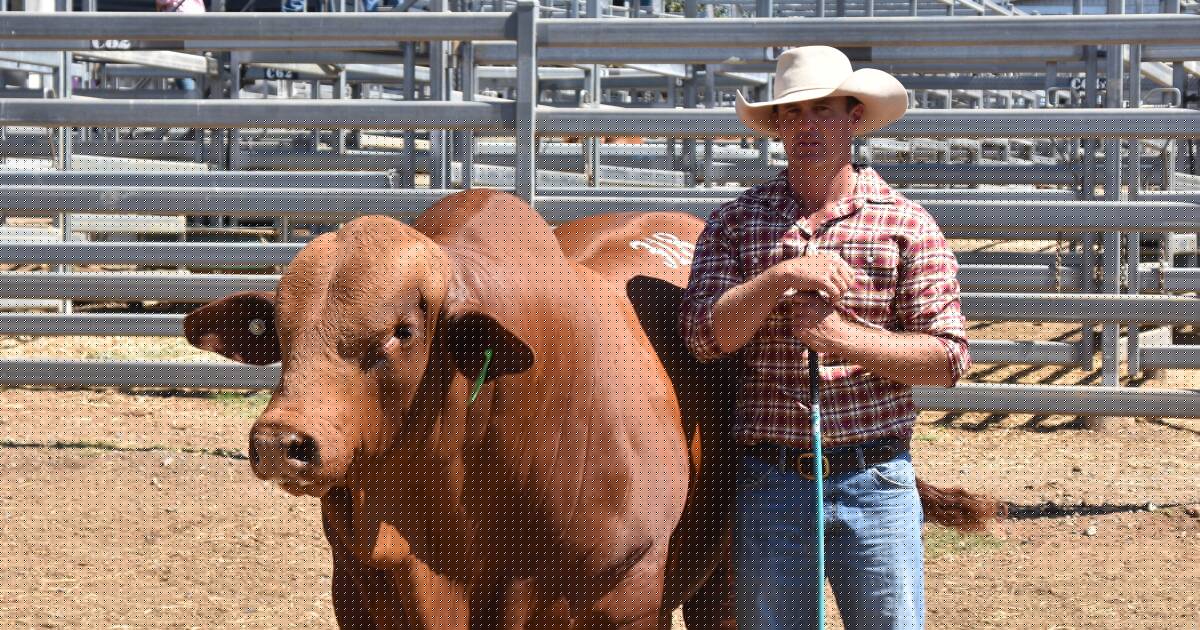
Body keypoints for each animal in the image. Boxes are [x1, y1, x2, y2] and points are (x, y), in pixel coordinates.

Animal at [183, 190, 1002, 630]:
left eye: (403, 331)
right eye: (278, 326)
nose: (283, 441)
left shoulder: (624, 597)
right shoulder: (359, 592)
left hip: (722, 576)